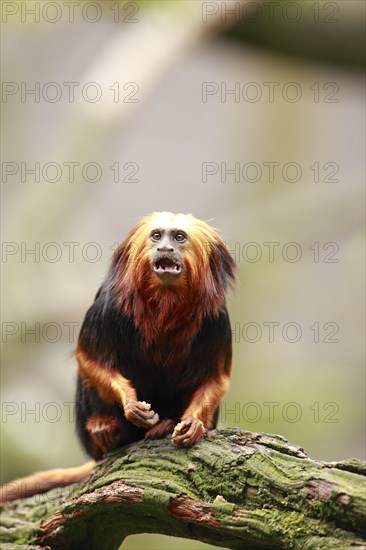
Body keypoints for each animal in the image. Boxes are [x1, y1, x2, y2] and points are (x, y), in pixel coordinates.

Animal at [0, 212, 234, 504]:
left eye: (179, 237)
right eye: (157, 236)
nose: (165, 249)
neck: (165, 304)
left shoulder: (217, 319)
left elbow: (216, 378)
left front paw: (192, 425)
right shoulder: (109, 307)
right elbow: (90, 359)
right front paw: (132, 406)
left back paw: (165, 424)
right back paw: (107, 433)